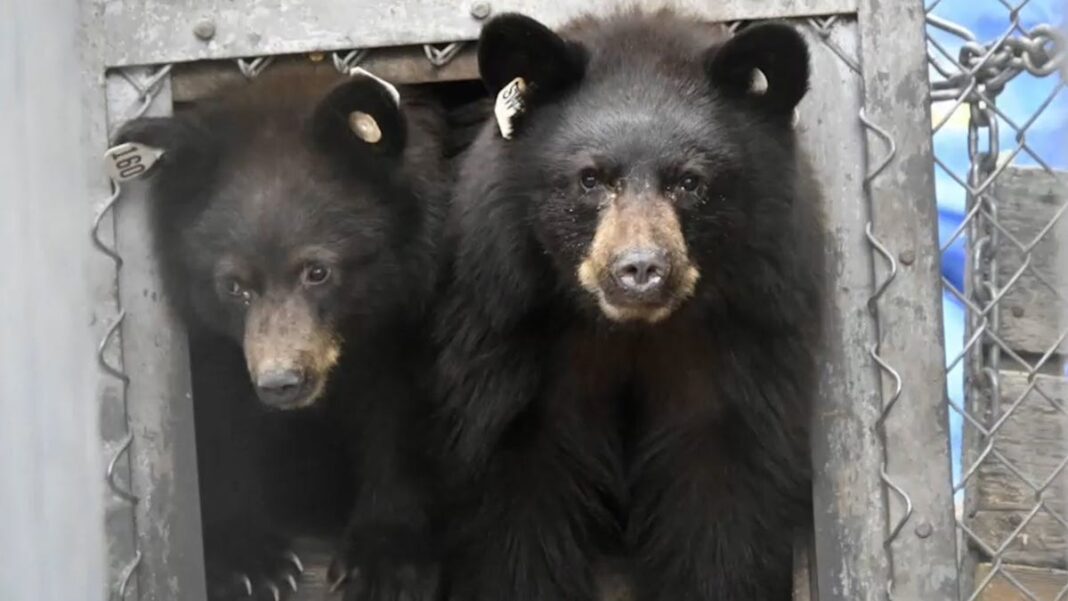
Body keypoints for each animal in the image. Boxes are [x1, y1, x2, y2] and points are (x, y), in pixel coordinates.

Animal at [116, 66, 446, 601]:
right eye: (234, 286)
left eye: (318, 271)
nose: (281, 382)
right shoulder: (214, 343)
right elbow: (219, 419)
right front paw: (251, 562)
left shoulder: (410, 308)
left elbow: (404, 412)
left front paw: (385, 562)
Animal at [433, 9, 824, 601]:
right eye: (590, 179)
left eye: (690, 182)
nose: (639, 270)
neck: (630, 331)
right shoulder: (505, 330)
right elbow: (517, 514)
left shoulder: (744, 341)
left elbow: (722, 508)